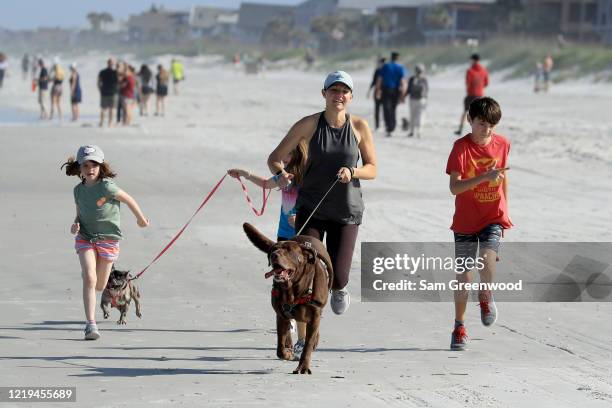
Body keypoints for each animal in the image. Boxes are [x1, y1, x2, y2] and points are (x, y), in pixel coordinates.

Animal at [243, 222, 332, 374]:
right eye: (274, 249)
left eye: (289, 251)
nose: (274, 255)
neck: (294, 290)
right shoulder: (280, 314)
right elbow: (280, 345)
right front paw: (288, 354)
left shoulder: (315, 315)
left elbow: (308, 344)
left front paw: (303, 366)